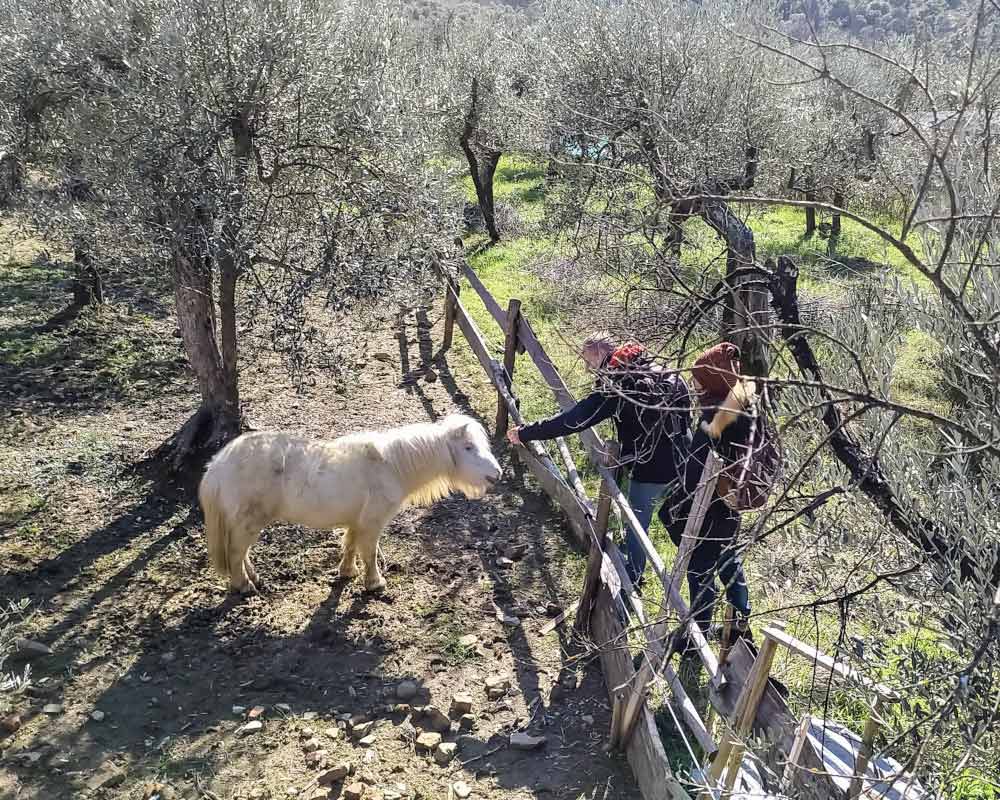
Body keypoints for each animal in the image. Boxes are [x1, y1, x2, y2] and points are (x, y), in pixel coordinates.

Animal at [199, 414, 502, 594]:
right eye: (468, 448)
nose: (496, 474)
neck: (390, 466)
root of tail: (217, 465)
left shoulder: (358, 520)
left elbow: (351, 545)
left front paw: (347, 573)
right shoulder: (373, 522)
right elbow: (369, 552)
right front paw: (375, 583)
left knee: (242, 552)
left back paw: (254, 578)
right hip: (250, 521)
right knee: (236, 551)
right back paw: (243, 585)